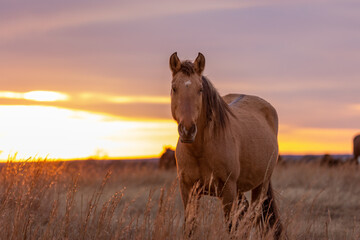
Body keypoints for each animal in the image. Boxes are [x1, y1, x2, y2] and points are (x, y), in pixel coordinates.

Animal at [170, 52, 282, 238]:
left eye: (200, 89)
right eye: (174, 88)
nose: (187, 130)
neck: (200, 151)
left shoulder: (228, 190)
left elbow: (231, 227)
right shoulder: (188, 190)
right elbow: (190, 227)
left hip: (261, 185)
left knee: (252, 216)